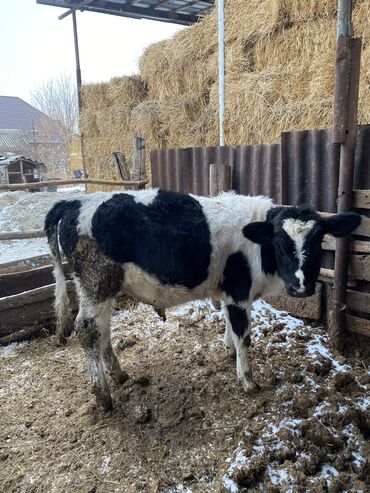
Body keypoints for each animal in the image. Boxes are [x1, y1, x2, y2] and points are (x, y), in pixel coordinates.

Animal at [44, 187, 360, 408]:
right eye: (280, 243)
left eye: (318, 241)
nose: (301, 287)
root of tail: (75, 202)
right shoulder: (238, 291)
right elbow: (244, 334)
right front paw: (247, 379)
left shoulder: (229, 294)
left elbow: (230, 327)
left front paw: (229, 352)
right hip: (97, 283)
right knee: (87, 330)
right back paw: (102, 395)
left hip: (102, 288)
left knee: (102, 329)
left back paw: (118, 374)